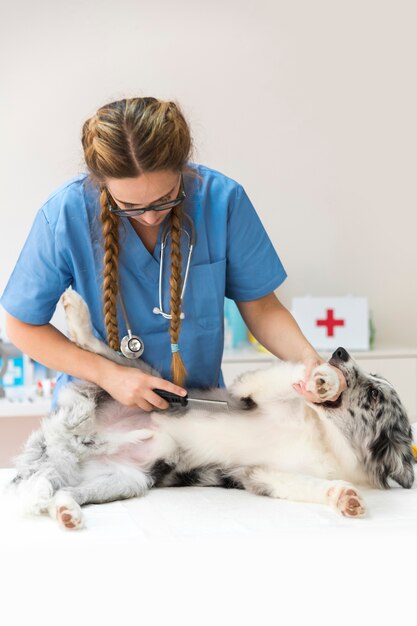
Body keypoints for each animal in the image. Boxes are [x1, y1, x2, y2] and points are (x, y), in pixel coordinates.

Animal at [8, 288, 412, 528]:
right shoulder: (250, 392)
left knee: (62, 493)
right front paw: (322, 377)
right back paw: (75, 310)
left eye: (374, 395)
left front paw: (346, 499)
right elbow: (288, 373)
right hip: (136, 377)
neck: (325, 437)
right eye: (373, 380)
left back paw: (67, 512)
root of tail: (68, 440)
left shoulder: (263, 474)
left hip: (125, 479)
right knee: (91, 346)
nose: (341, 351)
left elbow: (312, 485)